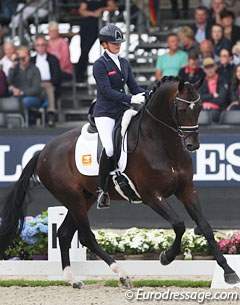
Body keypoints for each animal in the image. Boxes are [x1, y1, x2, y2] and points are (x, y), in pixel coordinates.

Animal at [0, 76, 240, 288]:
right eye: (180, 110)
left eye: (198, 108)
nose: (192, 145)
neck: (162, 144)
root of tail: (43, 152)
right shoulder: (152, 196)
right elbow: (179, 224)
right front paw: (166, 256)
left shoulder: (187, 190)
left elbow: (205, 227)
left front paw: (228, 272)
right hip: (73, 198)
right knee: (86, 237)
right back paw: (122, 274)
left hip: (85, 197)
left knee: (65, 234)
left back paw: (73, 279)